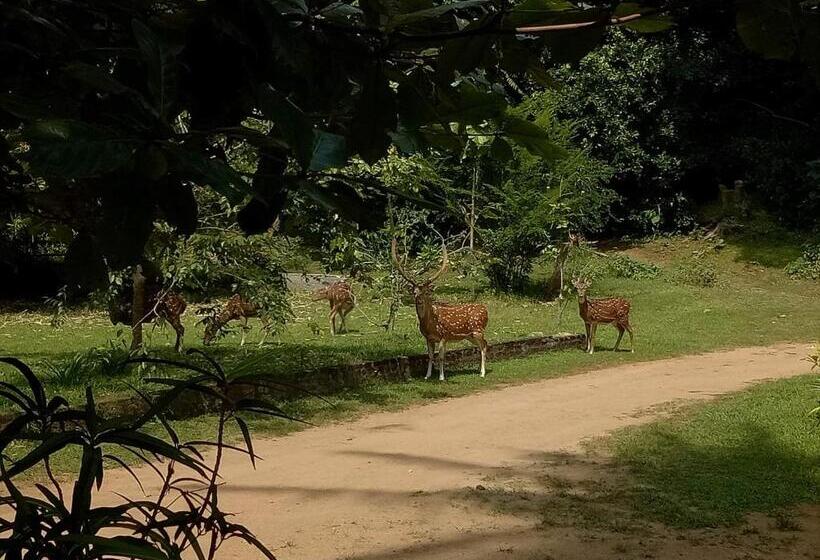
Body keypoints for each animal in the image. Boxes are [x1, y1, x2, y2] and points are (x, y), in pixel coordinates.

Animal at [391, 239, 489, 381]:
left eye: (426, 292)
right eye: (414, 292)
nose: (419, 300)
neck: (430, 324)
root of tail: (485, 310)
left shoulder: (443, 335)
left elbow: (441, 357)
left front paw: (441, 377)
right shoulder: (428, 338)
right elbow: (430, 356)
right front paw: (427, 376)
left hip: (478, 329)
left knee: (484, 345)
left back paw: (482, 373)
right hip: (470, 335)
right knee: (481, 345)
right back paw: (478, 370)